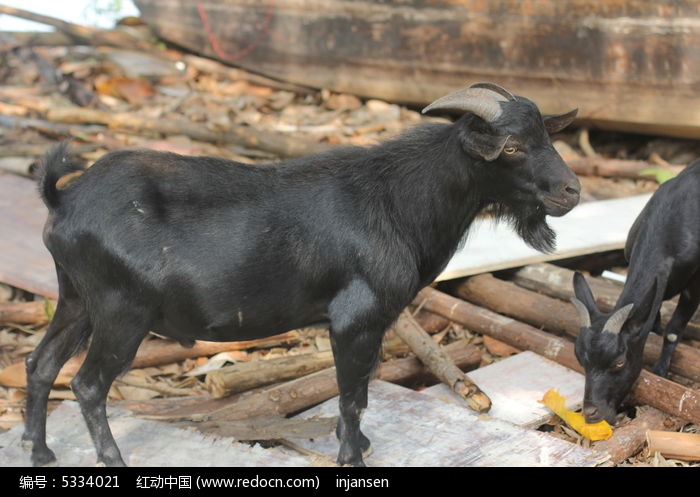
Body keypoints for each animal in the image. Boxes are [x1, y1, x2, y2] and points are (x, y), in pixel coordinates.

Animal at [23, 81, 580, 464]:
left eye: (546, 137)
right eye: (511, 146)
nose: (571, 191)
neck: (396, 201)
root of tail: (63, 199)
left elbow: (363, 390)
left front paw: (360, 444)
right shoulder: (355, 319)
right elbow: (352, 395)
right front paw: (352, 457)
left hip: (76, 298)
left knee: (41, 362)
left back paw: (40, 451)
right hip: (122, 311)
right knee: (87, 385)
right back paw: (110, 460)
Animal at [572, 161, 700, 424]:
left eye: (620, 362)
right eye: (580, 359)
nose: (591, 413)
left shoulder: (695, 284)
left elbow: (673, 331)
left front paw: (661, 370)